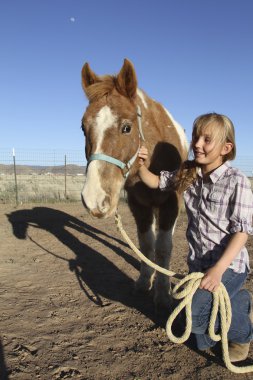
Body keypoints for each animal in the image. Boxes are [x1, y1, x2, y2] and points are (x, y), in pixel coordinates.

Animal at [80, 58, 188, 308]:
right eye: (83, 127)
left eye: (127, 127)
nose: (94, 200)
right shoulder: (139, 205)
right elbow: (147, 244)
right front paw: (144, 282)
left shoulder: (170, 203)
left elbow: (163, 247)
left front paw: (163, 293)